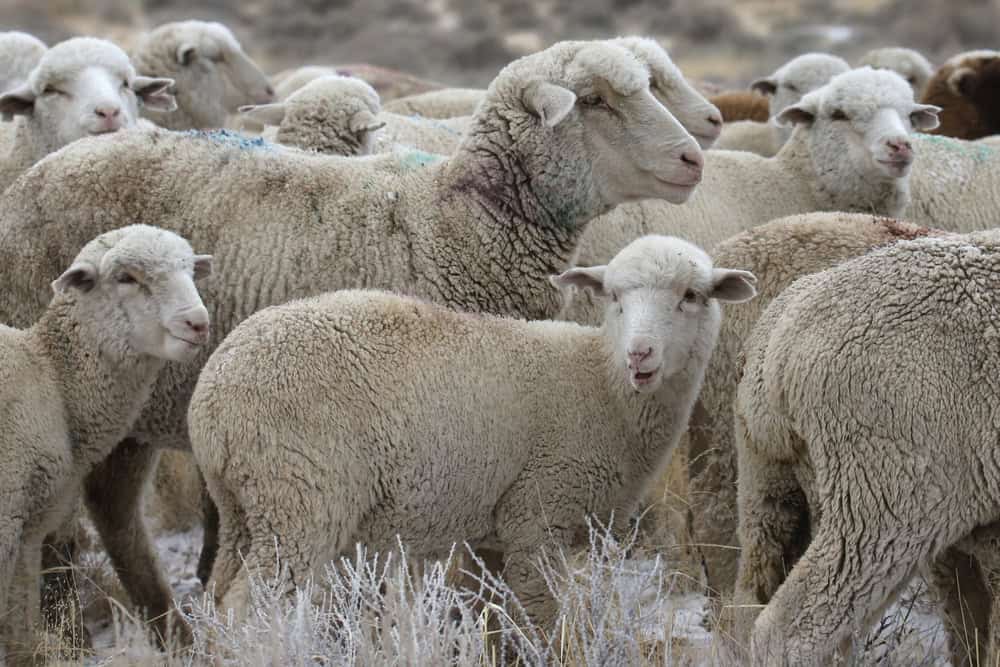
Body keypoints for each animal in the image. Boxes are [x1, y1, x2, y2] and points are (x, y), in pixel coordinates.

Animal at [0, 225, 211, 659]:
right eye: (126, 278)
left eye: (190, 270)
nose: (198, 323)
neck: (50, 375)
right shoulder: (7, 519)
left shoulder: (28, 531)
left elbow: (19, 634)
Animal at [187, 234, 757, 625]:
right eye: (613, 296)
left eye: (692, 295)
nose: (640, 354)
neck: (601, 382)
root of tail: (213, 397)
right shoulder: (537, 513)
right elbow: (543, 618)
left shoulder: (498, 530)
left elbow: (496, 620)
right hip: (300, 497)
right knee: (248, 606)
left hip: (244, 505)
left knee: (216, 600)